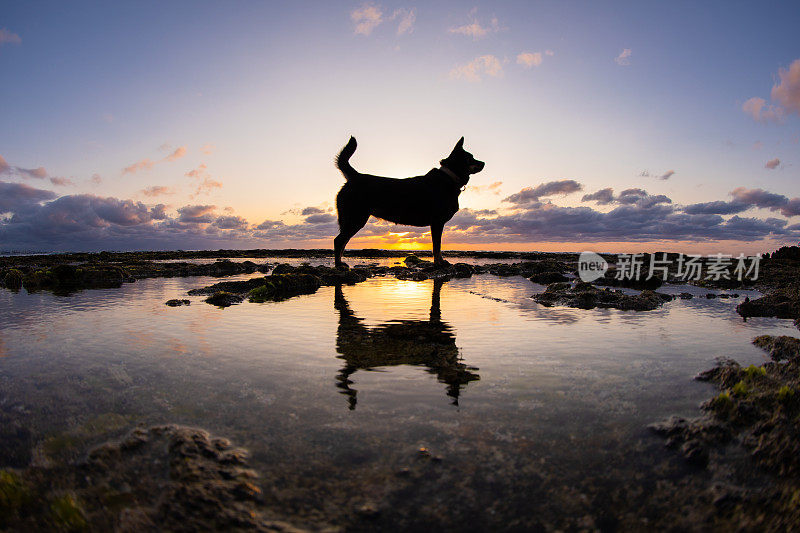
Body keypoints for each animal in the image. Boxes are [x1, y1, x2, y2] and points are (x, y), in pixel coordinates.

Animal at [334, 135, 484, 264]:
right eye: (470, 158)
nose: (483, 163)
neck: (450, 177)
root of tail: (355, 176)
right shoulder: (437, 222)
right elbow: (437, 246)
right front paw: (439, 263)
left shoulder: (437, 223)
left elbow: (438, 247)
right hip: (355, 218)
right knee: (339, 241)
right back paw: (339, 265)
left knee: (343, 242)